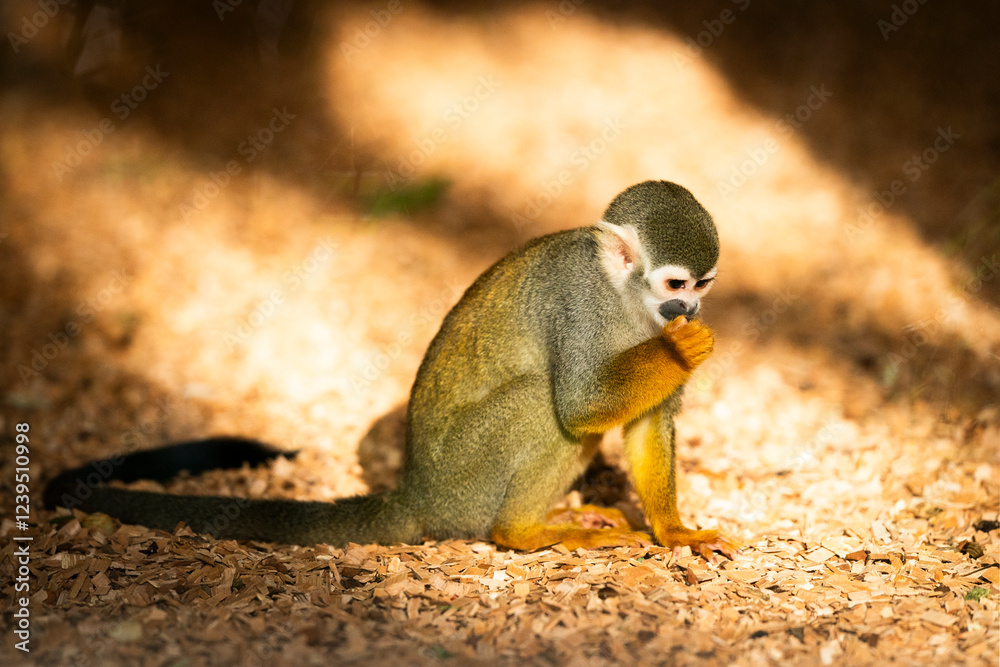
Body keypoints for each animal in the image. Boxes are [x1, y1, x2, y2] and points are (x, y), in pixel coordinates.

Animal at [44, 180, 737, 561]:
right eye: (675, 284)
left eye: (703, 284)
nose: (690, 310)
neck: (625, 297)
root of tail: (416, 492)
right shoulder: (580, 301)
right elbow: (578, 403)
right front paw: (681, 352)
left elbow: (644, 423)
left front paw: (673, 532)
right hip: (465, 481)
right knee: (545, 407)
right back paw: (521, 533)